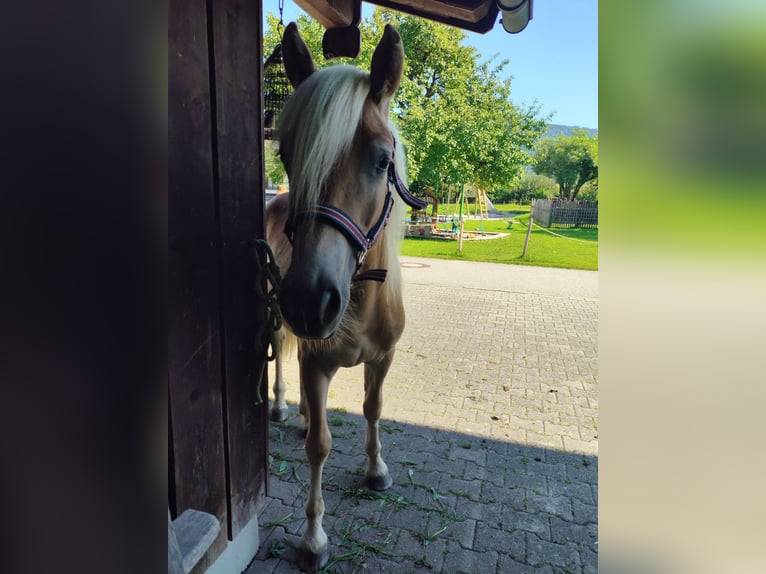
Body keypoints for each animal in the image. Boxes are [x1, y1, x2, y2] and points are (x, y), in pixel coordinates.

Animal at [268, 21, 428, 572]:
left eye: (383, 160)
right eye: (287, 155)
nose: (309, 301)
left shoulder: (384, 358)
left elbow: (373, 408)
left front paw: (376, 470)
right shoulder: (317, 363)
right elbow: (320, 444)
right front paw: (313, 537)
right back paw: (281, 407)